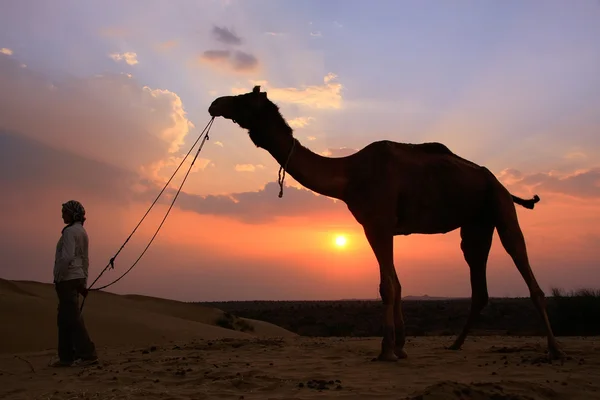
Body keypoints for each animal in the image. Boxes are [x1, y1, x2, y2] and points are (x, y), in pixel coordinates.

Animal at [209, 86, 564, 360]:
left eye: (243, 99)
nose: (215, 103)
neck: (348, 176)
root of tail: (502, 185)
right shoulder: (381, 226)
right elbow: (397, 282)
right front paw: (401, 347)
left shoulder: (377, 223)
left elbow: (387, 286)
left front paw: (387, 351)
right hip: (475, 225)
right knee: (479, 286)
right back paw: (455, 344)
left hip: (501, 208)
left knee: (525, 269)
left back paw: (554, 350)